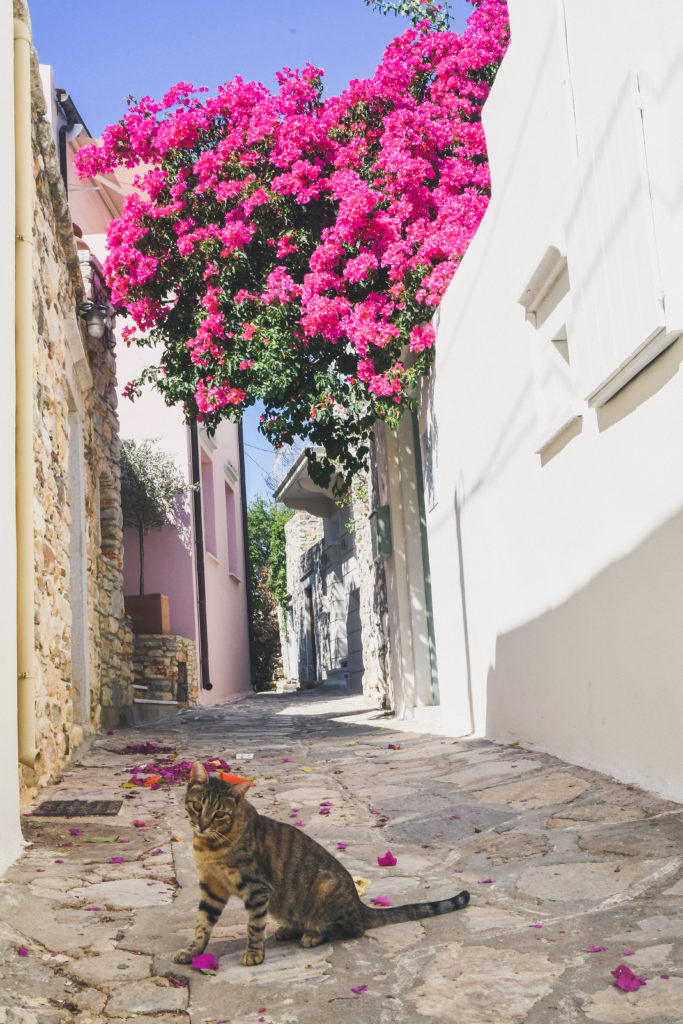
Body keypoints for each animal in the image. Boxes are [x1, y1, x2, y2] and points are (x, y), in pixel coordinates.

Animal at [174, 761, 471, 966]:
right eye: (197, 807)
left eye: (219, 814)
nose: (202, 825)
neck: (210, 846)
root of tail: (359, 905)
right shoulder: (212, 887)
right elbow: (202, 925)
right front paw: (192, 951)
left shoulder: (257, 888)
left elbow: (254, 926)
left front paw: (254, 953)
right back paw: (290, 929)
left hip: (324, 885)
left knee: (350, 929)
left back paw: (314, 935)